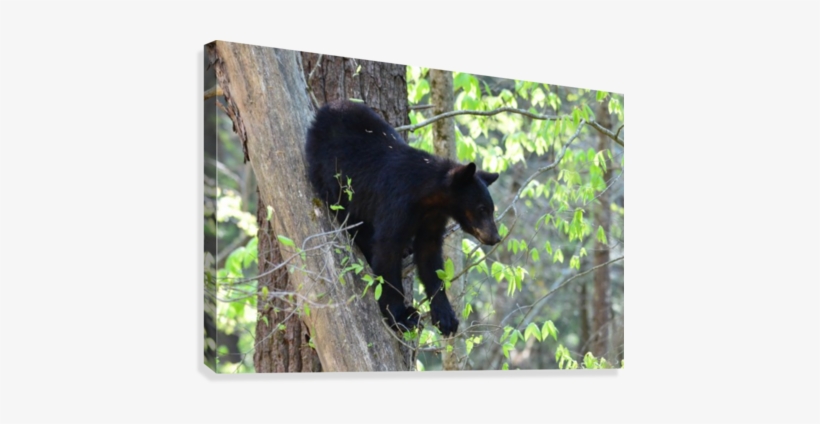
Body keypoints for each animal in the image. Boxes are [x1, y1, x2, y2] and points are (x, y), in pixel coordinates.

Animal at [305, 100, 501, 336]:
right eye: (482, 209)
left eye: (491, 209)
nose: (496, 237)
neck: (427, 196)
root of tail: (323, 111)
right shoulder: (396, 204)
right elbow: (387, 251)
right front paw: (400, 316)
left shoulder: (433, 218)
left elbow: (429, 255)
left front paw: (445, 316)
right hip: (331, 176)